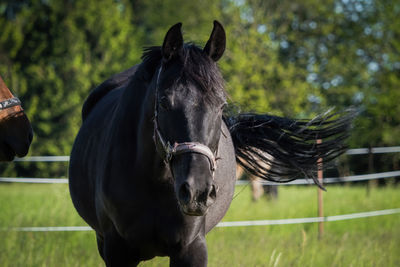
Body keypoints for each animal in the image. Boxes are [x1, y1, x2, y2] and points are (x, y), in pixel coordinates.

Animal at [69, 21, 354, 267]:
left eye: (221, 105)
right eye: (164, 102)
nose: (197, 192)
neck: (155, 183)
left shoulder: (192, 249)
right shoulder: (116, 250)